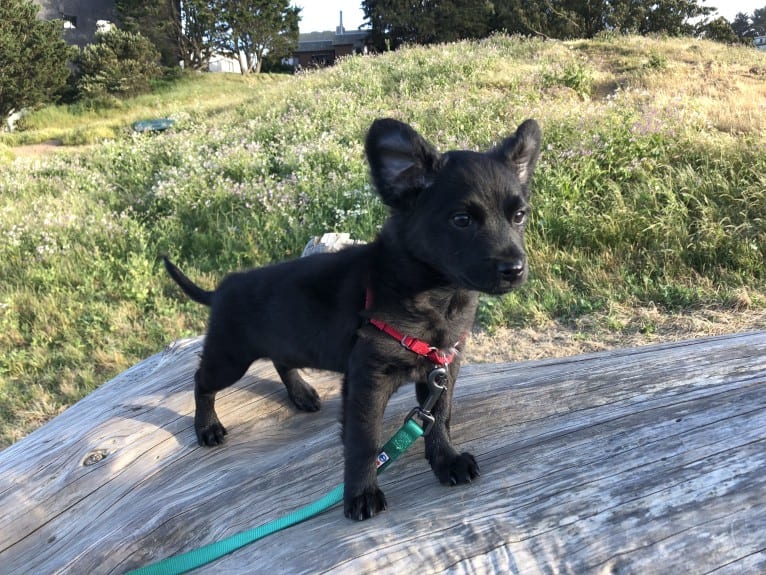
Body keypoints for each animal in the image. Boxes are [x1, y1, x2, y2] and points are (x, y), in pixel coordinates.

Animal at [165, 117, 544, 520]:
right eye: (462, 220)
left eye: (519, 215)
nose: (514, 269)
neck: (437, 297)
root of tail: (223, 287)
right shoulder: (368, 379)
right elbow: (364, 440)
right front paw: (361, 493)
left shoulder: (442, 369)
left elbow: (439, 418)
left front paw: (446, 461)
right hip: (229, 357)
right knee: (202, 382)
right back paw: (207, 427)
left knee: (281, 361)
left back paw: (301, 394)